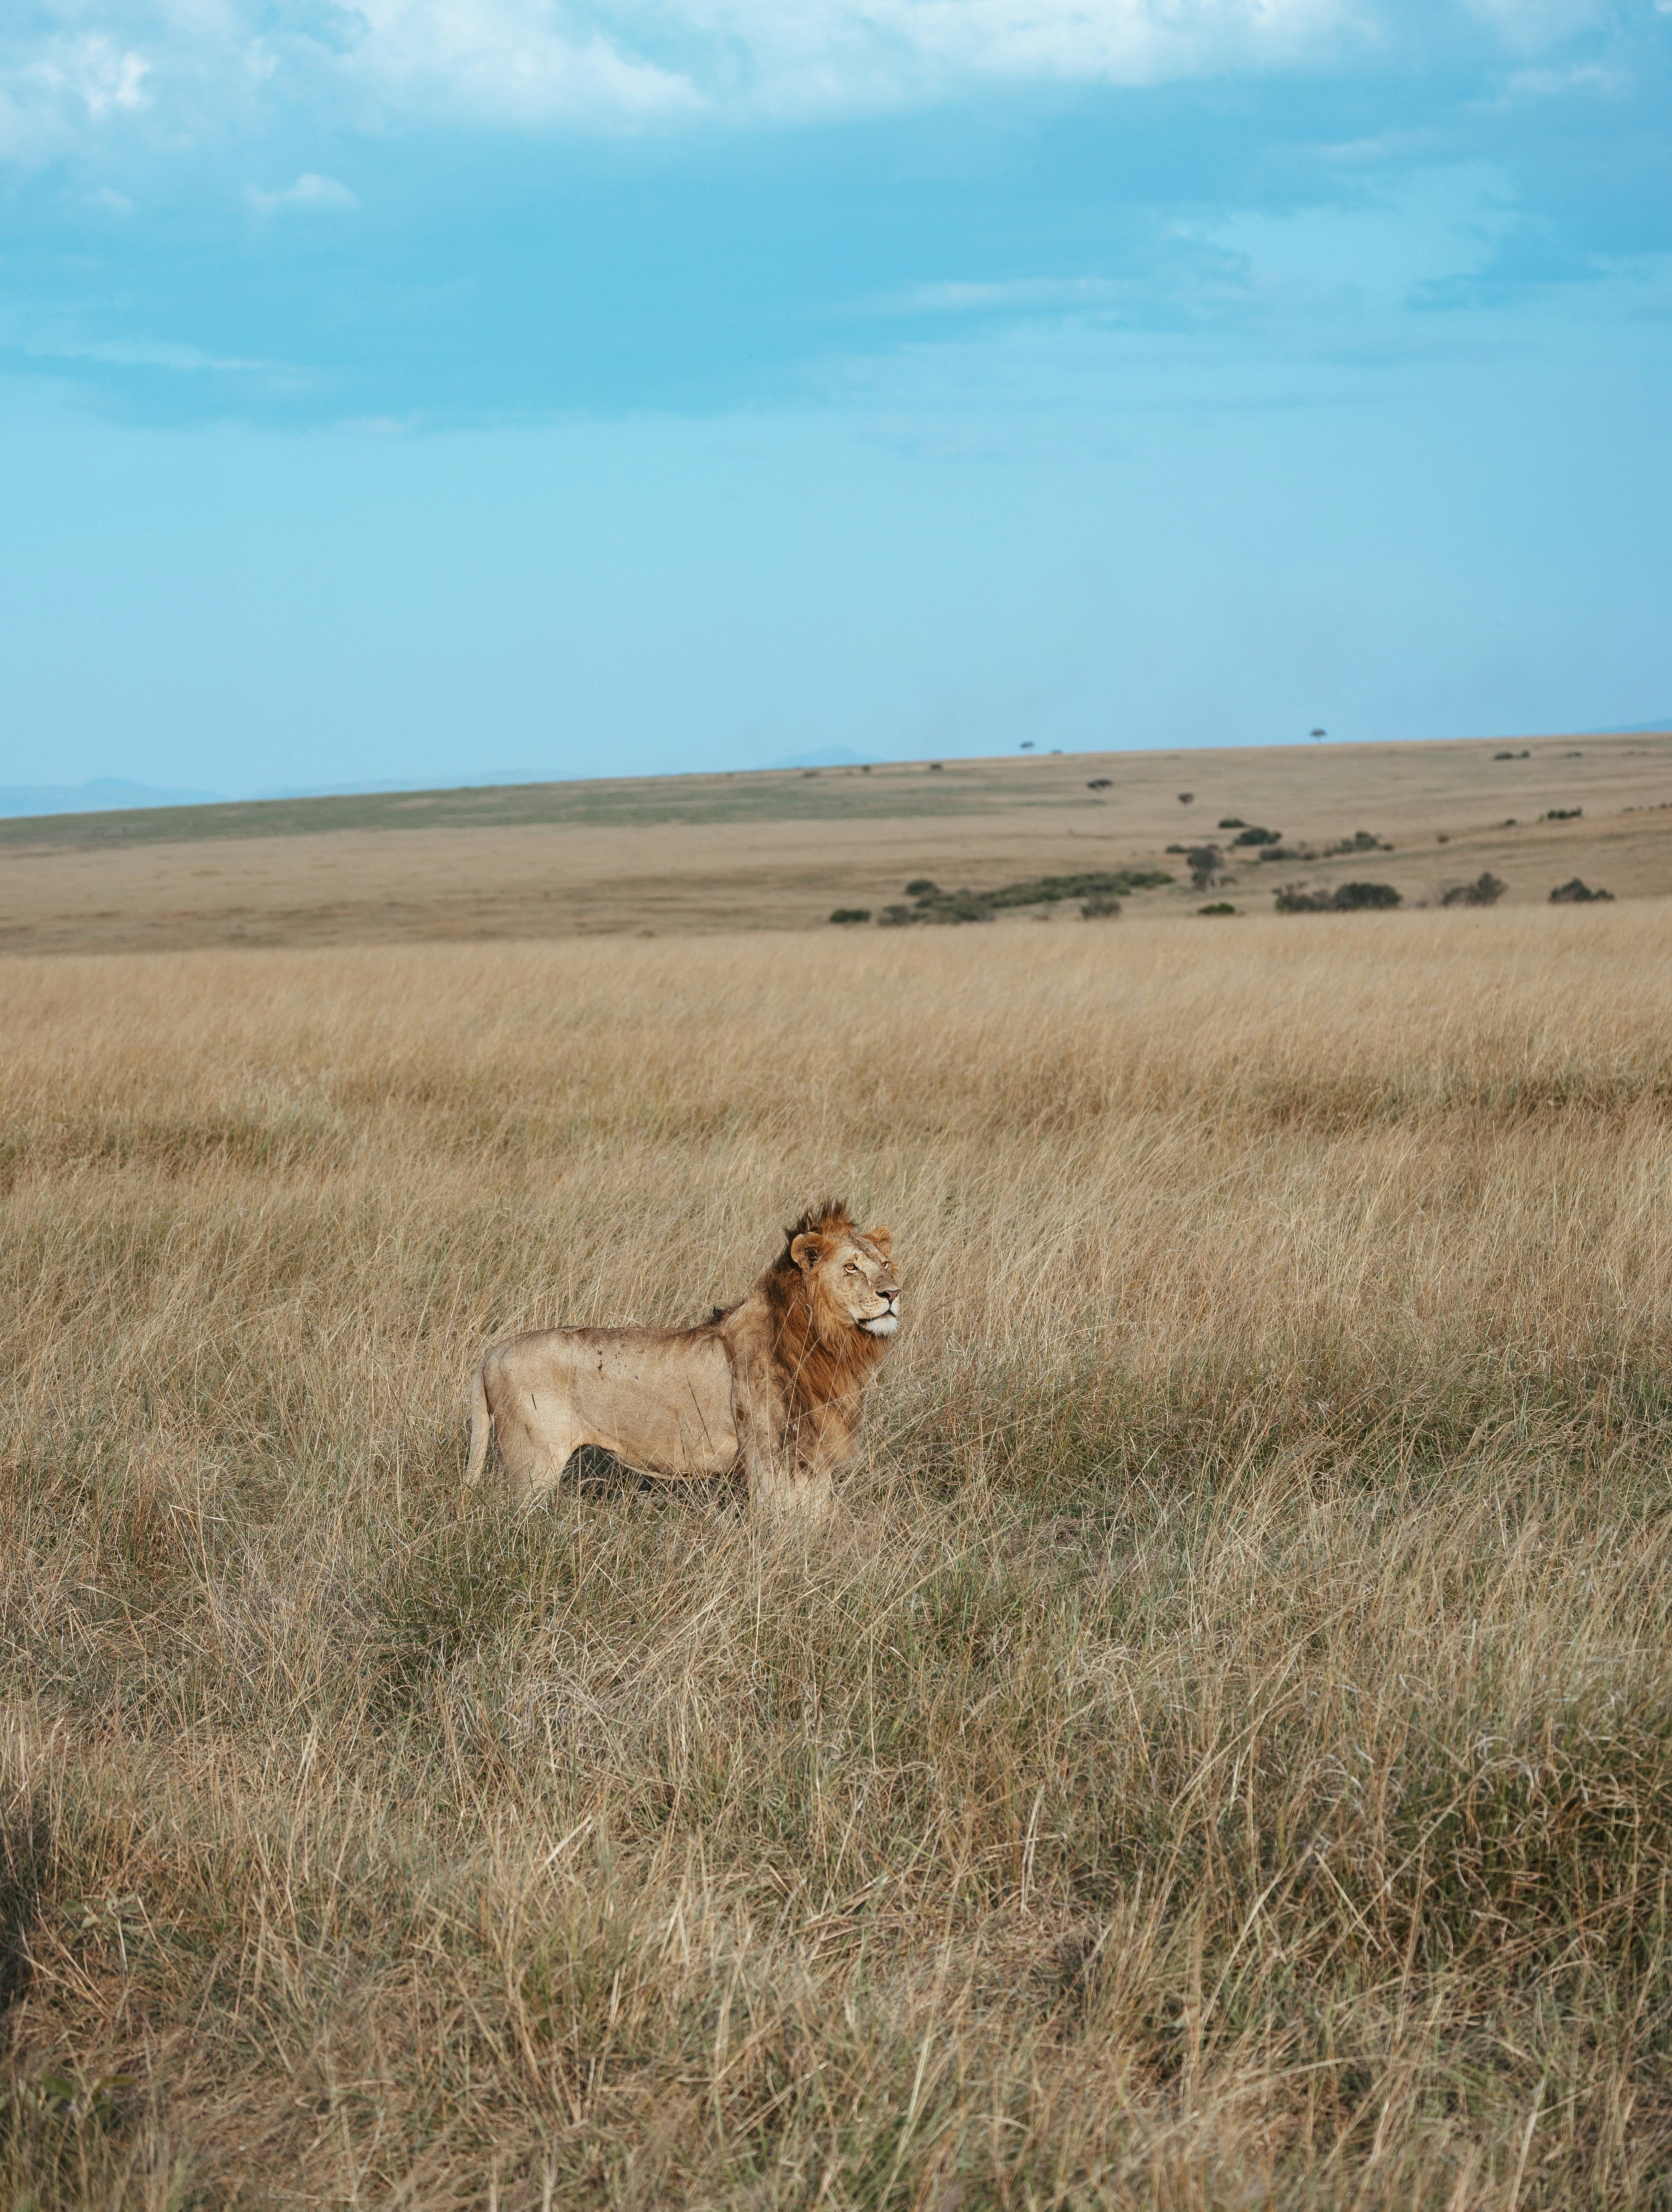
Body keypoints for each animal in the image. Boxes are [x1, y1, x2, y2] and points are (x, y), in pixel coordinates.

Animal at [463, 1200, 901, 1519]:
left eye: (885, 1265)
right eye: (850, 1267)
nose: (893, 1293)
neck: (829, 1341)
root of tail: (492, 1354)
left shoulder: (812, 1450)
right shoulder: (771, 1454)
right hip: (532, 1464)